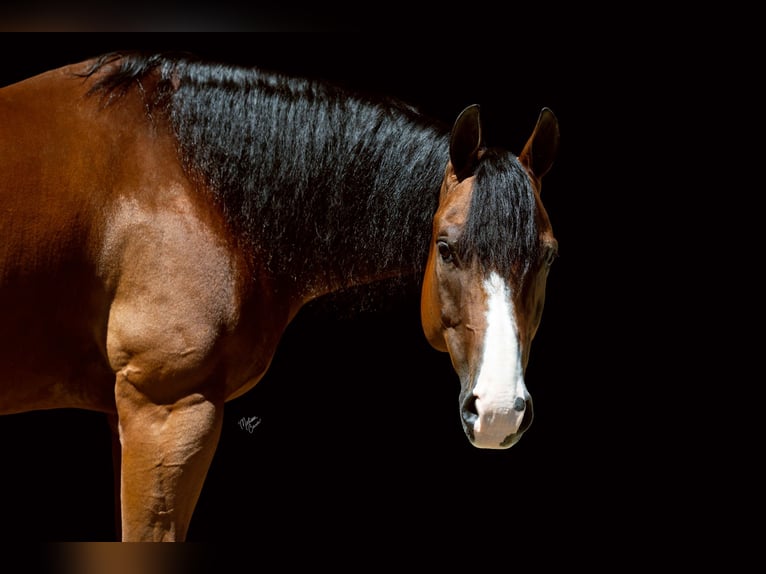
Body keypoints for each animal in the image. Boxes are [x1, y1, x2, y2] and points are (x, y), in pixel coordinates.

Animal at [0, 51, 559, 541]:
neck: (197, 187)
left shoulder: (128, 414)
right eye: (445, 248)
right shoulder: (165, 410)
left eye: (549, 256)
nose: (499, 411)